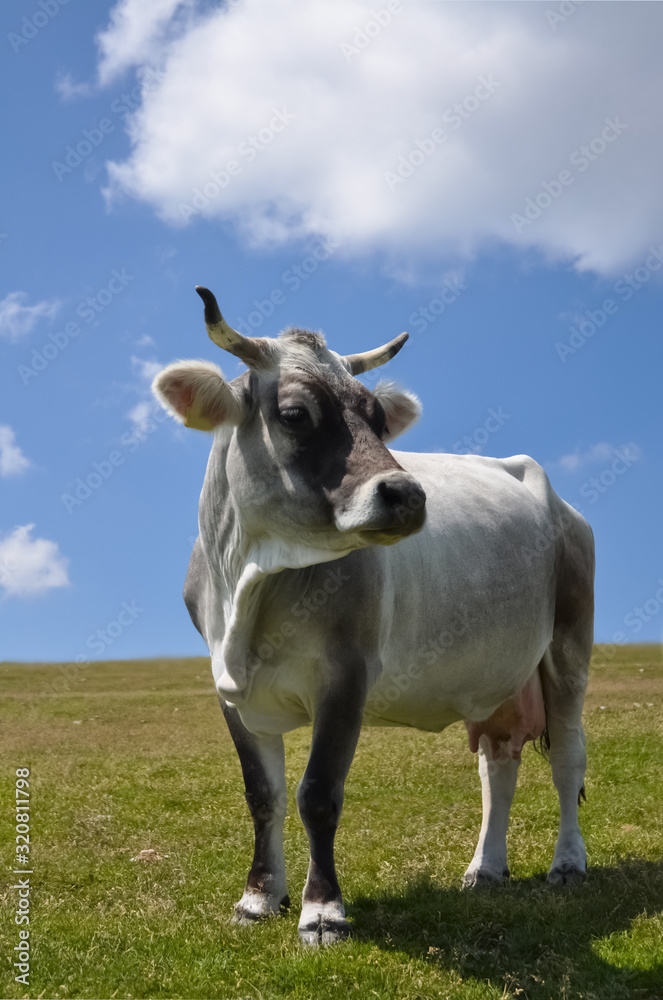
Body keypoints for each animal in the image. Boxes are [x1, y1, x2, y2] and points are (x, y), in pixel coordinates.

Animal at [156, 288, 596, 944]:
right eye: (295, 414)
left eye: (378, 417)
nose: (407, 495)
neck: (249, 587)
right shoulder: (227, 686)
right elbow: (263, 794)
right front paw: (258, 897)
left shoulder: (346, 674)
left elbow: (317, 794)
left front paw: (322, 911)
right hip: (496, 673)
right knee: (498, 764)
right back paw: (485, 869)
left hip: (568, 649)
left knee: (568, 758)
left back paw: (567, 863)